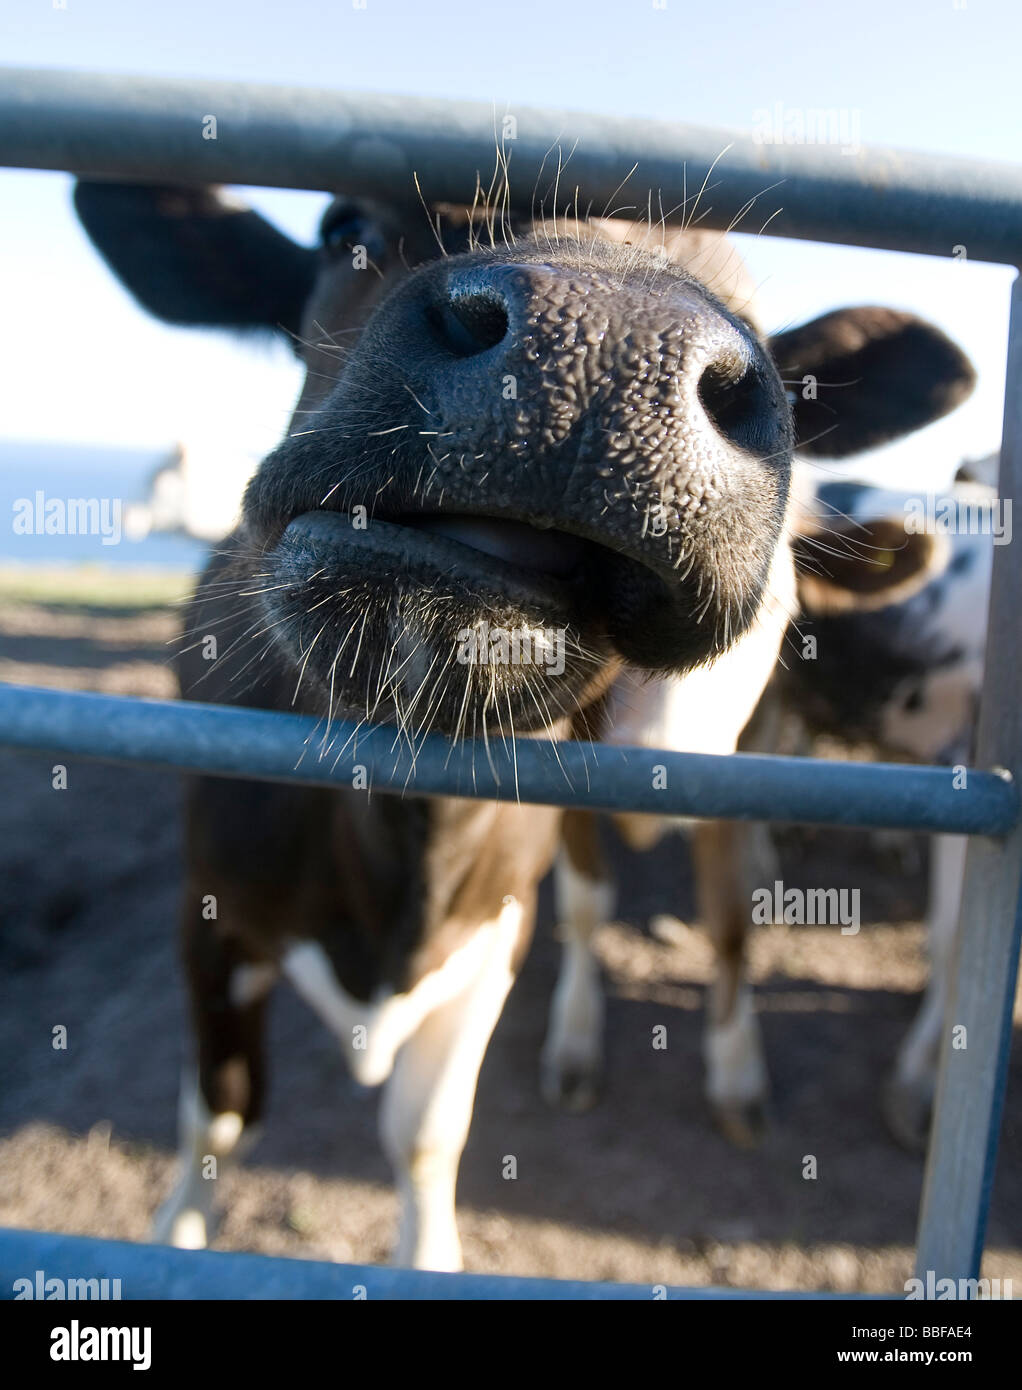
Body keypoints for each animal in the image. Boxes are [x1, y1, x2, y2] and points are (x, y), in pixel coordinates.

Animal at [74, 179, 973, 1267]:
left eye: (756, 319)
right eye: (344, 229)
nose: (607, 341)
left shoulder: (501, 920)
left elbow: (425, 1130)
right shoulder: (210, 914)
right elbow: (218, 1116)